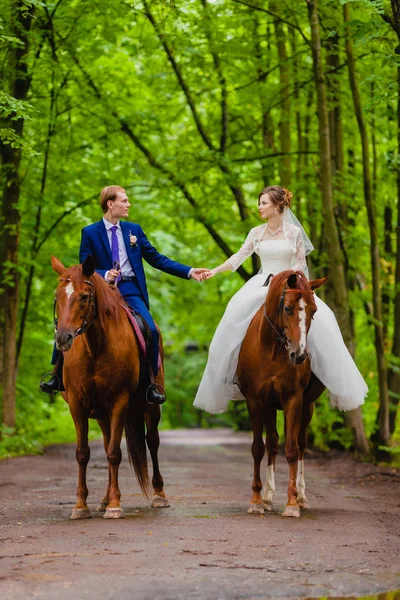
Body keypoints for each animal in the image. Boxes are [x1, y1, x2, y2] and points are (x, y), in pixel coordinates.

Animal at [52, 255, 169, 516]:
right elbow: (83, 453)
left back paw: (158, 494)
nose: (63, 338)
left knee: (152, 443)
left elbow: (115, 453)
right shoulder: (77, 404)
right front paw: (81, 505)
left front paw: (115, 505)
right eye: (57, 296)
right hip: (101, 415)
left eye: (84, 296)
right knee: (106, 444)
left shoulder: (119, 401)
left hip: (150, 408)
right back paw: (104, 499)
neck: (95, 347)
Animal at [236, 270, 326, 516]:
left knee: (301, 444)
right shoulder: (256, 401)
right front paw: (257, 501)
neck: (273, 350)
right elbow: (258, 448)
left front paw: (292, 503)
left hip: (307, 406)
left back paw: (302, 497)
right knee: (272, 444)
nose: (299, 355)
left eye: (314, 310)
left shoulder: (293, 400)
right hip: (269, 406)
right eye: (287, 308)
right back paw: (267, 498)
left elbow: (292, 449)